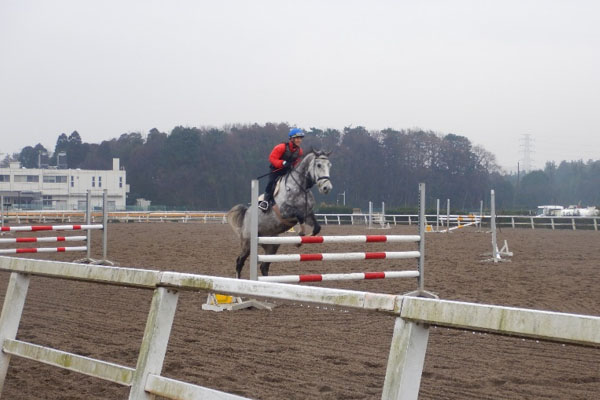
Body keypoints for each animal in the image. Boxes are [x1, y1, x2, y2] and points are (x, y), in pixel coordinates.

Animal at [227, 150, 332, 278]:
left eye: (329, 165)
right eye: (319, 165)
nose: (327, 188)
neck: (300, 187)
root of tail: (246, 213)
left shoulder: (308, 214)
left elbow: (317, 227)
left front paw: (303, 239)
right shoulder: (285, 212)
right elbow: (299, 216)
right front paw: (300, 235)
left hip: (272, 245)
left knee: (264, 266)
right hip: (248, 243)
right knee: (240, 261)